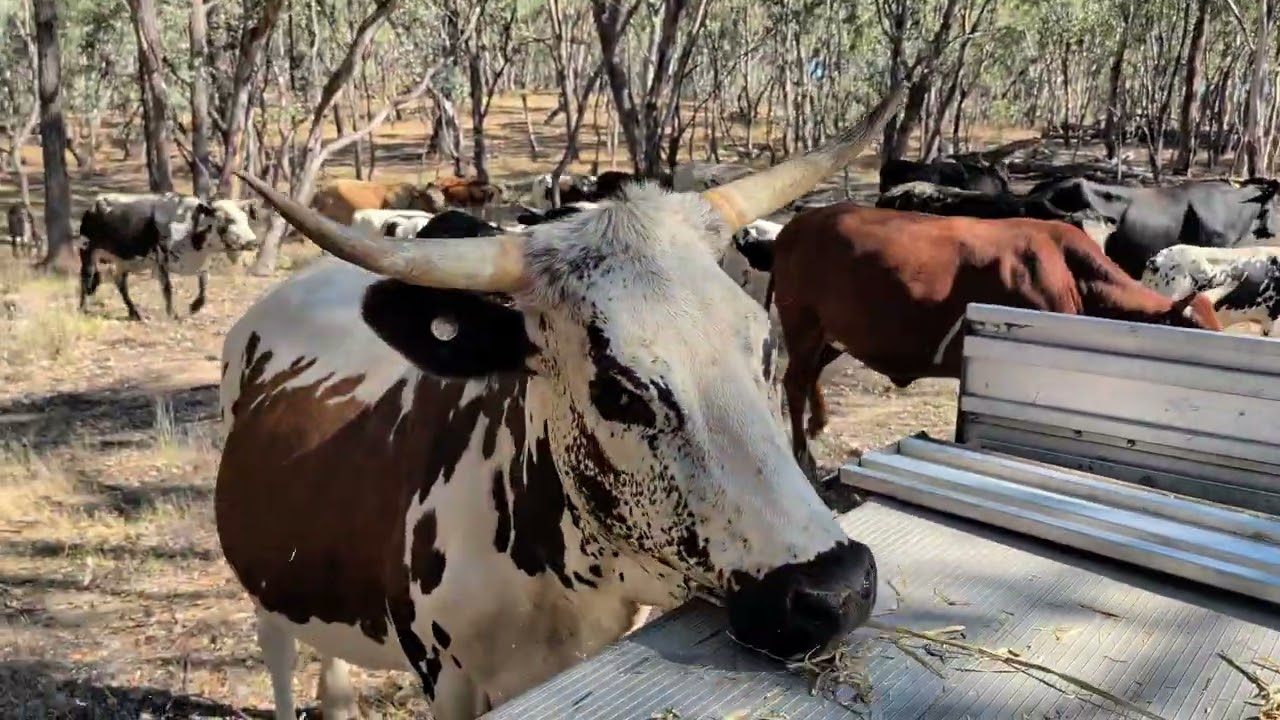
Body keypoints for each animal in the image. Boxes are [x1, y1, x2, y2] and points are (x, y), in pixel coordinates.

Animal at [78, 193, 257, 321]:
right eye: (228, 220)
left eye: (246, 218)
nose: (253, 242)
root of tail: (95, 203)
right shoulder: (161, 261)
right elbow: (168, 289)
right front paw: (172, 314)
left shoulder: (202, 265)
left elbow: (204, 288)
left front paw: (194, 307)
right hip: (88, 251)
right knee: (86, 280)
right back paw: (83, 309)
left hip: (123, 261)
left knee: (120, 283)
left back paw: (135, 313)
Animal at [770, 205, 1224, 473]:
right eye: (1198, 334)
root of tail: (797, 223)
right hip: (803, 323)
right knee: (794, 381)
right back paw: (803, 457)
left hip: (830, 335)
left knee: (808, 377)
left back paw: (818, 426)